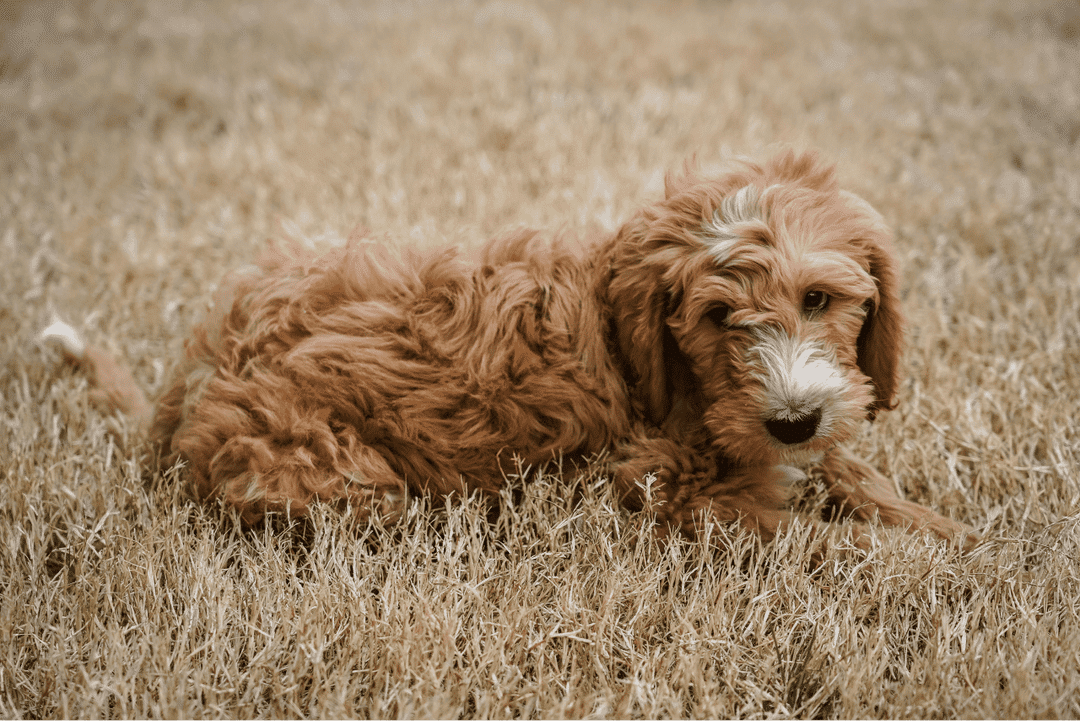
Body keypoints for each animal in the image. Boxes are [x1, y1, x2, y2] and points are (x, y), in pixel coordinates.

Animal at [46, 148, 980, 548]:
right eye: (719, 317)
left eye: (819, 300)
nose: (791, 420)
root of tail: (193, 373)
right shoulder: (663, 490)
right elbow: (818, 540)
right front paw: (927, 562)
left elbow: (856, 475)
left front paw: (950, 531)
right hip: (330, 473)